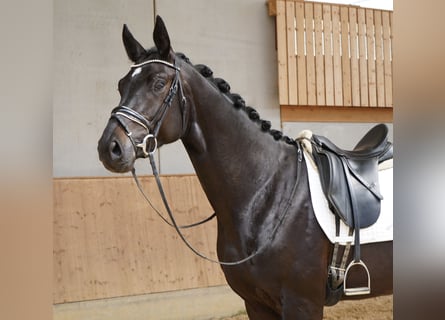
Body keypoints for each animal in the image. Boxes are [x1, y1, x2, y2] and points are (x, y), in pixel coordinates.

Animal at [98, 16, 392, 318]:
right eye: (121, 85)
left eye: (158, 83)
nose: (110, 147)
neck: (266, 194)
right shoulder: (255, 303)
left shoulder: (302, 304)